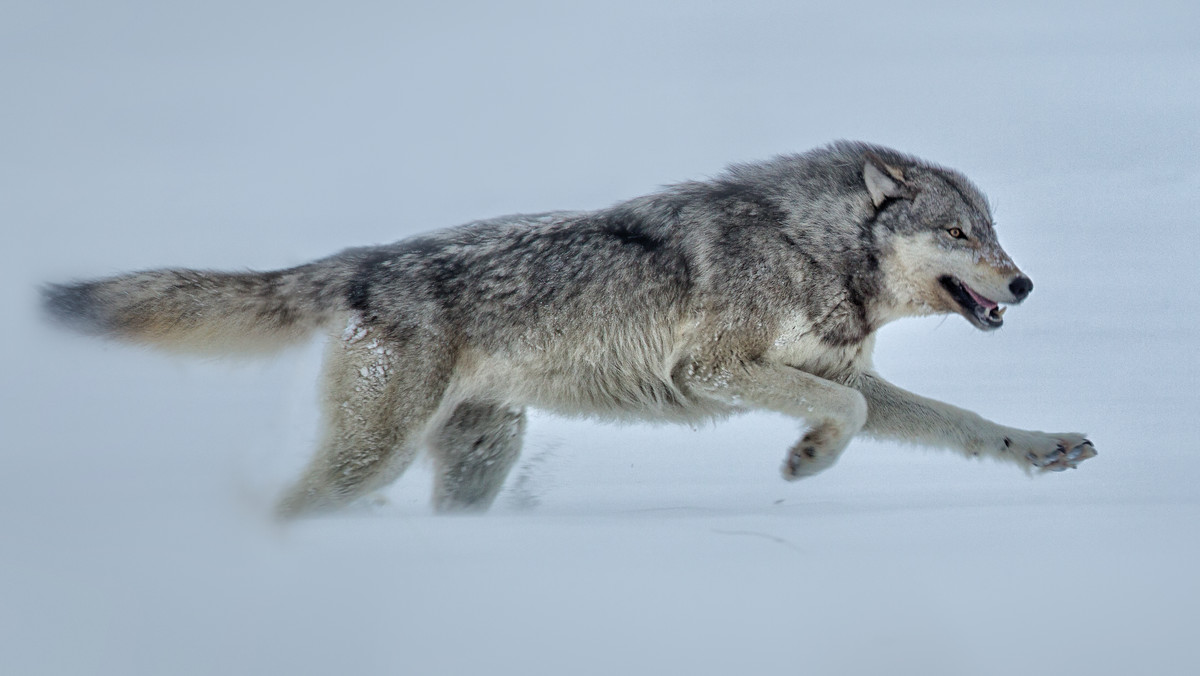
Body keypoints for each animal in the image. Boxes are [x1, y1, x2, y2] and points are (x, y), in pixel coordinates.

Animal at [44, 140, 1099, 516]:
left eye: (992, 230)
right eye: (959, 234)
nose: (1025, 282)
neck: (816, 251)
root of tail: (364, 264)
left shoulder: (852, 376)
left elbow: (958, 422)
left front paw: (1043, 448)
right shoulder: (716, 367)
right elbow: (841, 412)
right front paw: (804, 461)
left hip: (480, 455)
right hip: (374, 459)